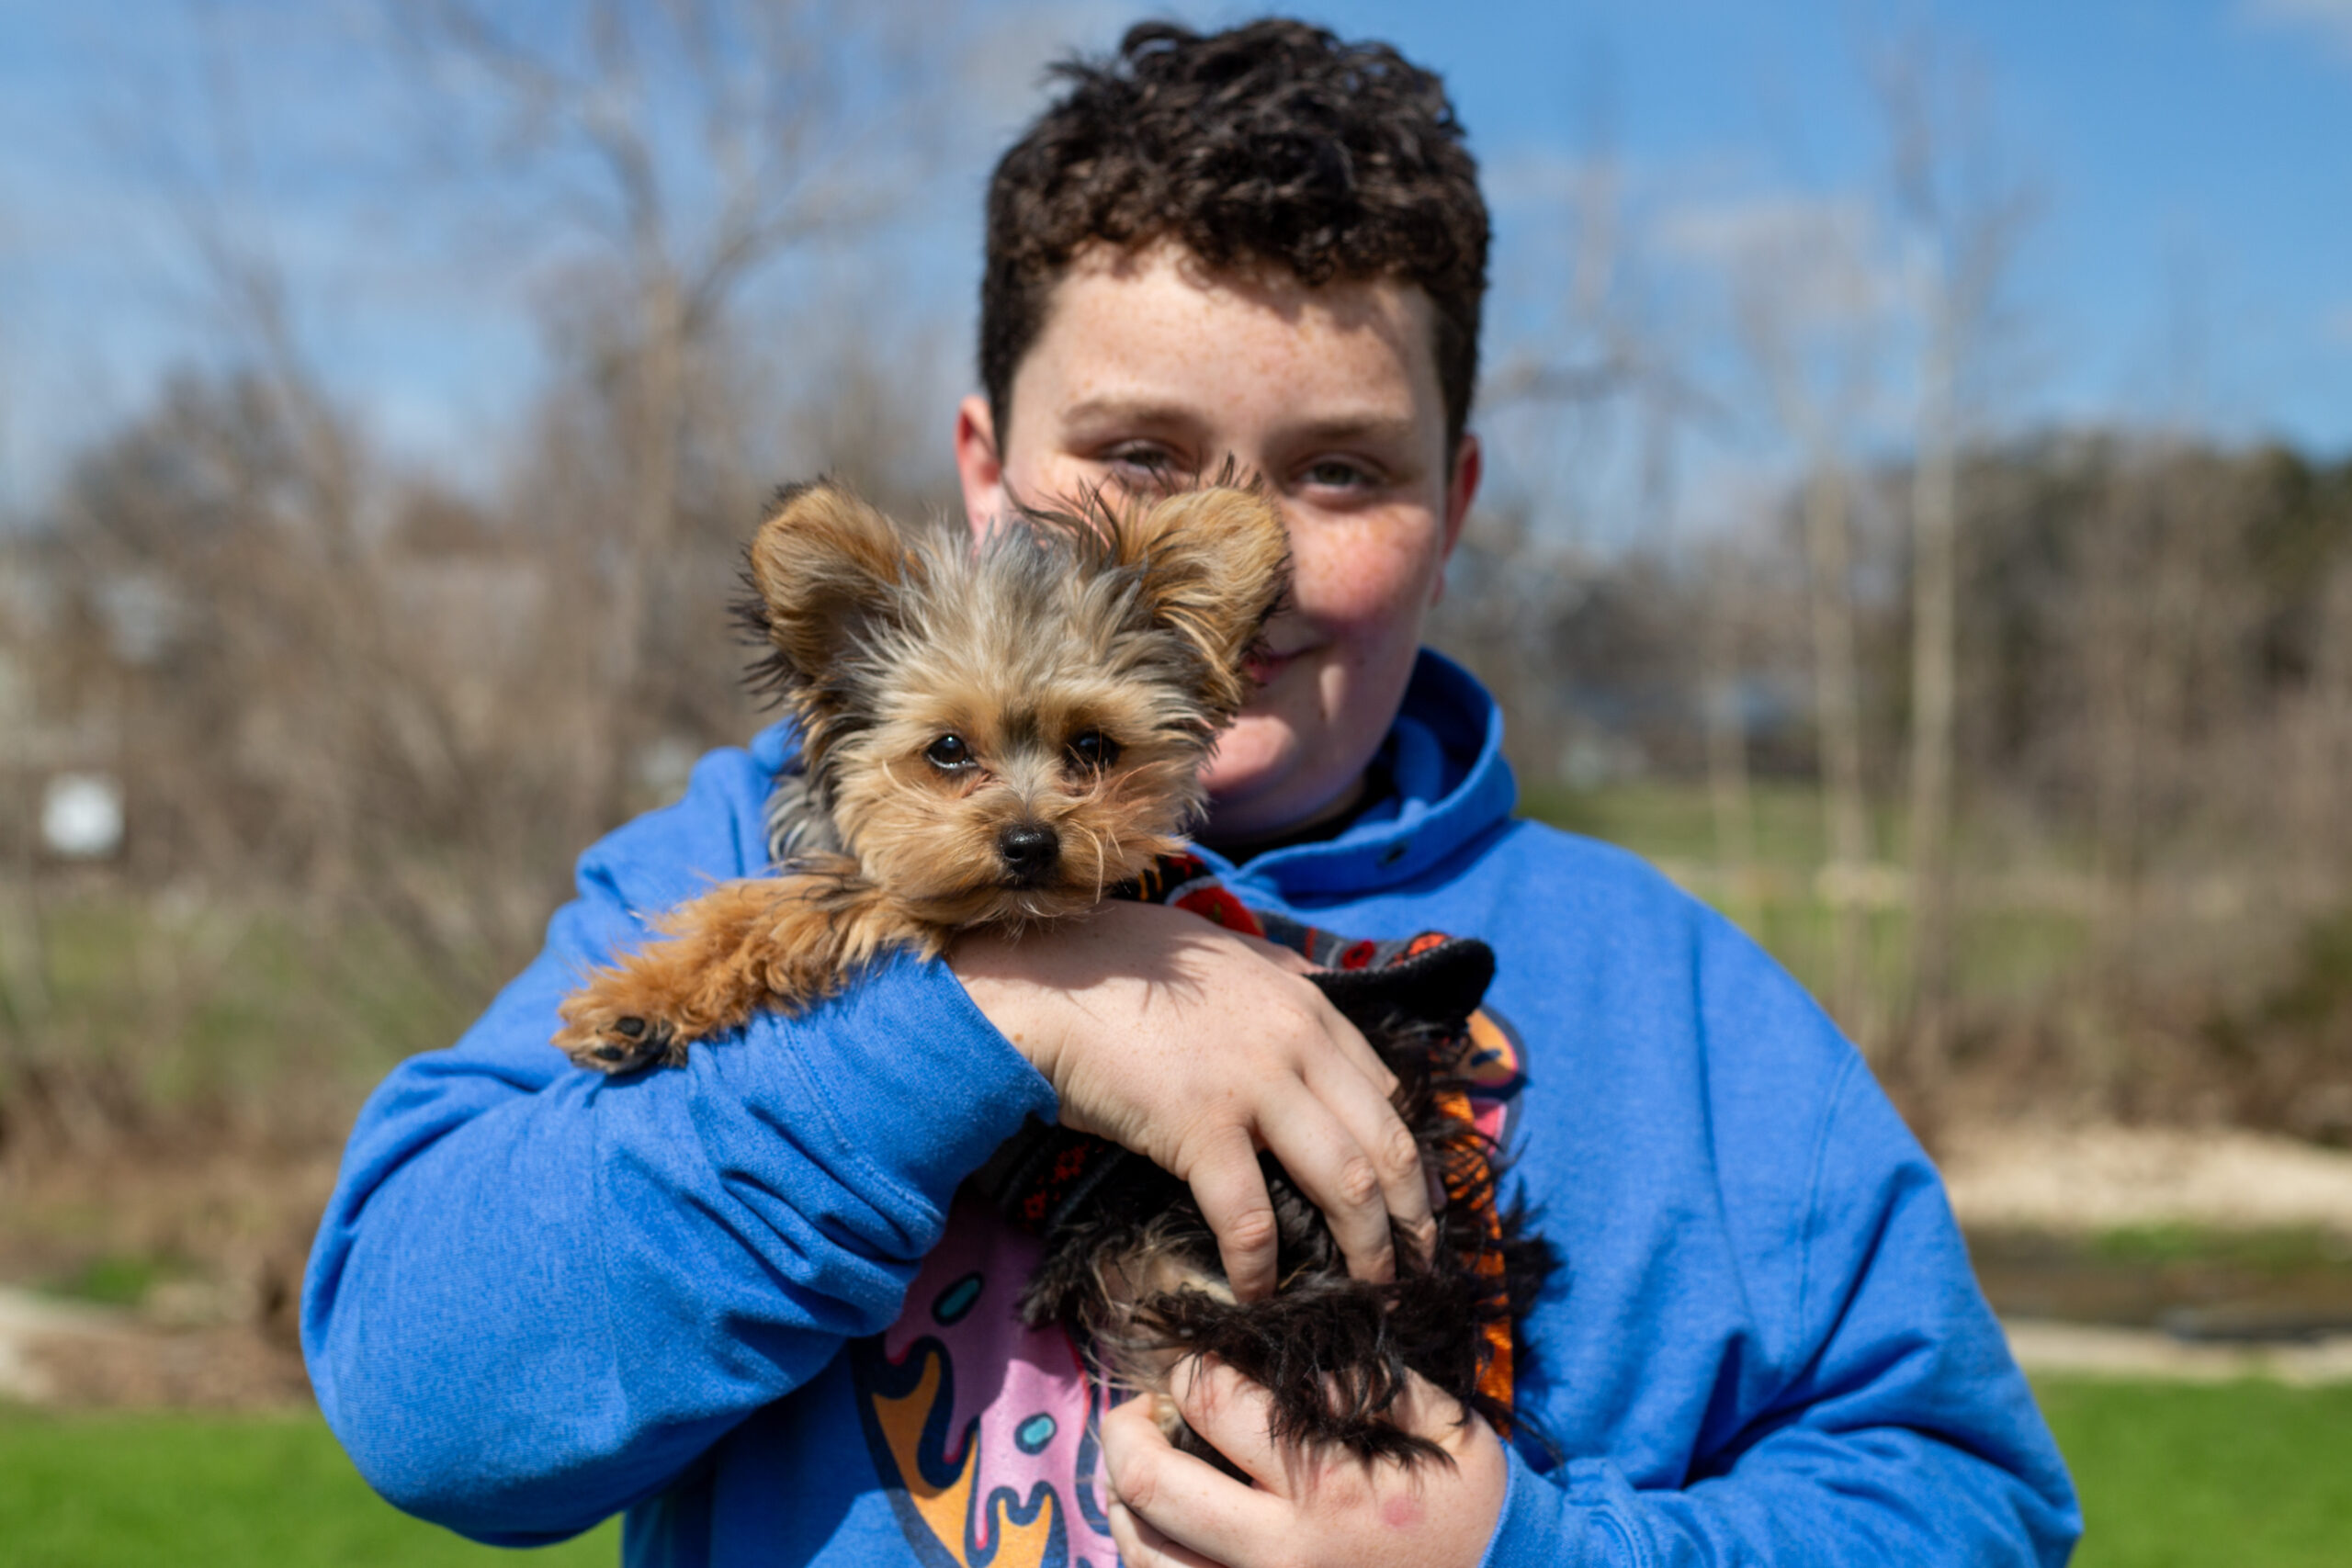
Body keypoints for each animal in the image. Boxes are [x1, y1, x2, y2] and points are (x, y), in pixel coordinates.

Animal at [553, 479, 1552, 1468]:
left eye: (1095, 748)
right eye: (947, 750)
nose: (1032, 843)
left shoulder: (928, 904)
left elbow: (811, 898)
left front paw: (632, 999)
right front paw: (635, 1009)